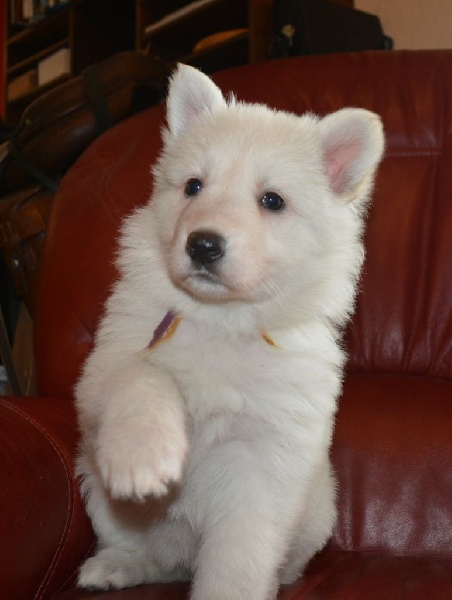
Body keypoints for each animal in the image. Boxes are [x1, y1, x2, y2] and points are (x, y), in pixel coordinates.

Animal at [75, 63, 384, 599]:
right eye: (193, 187)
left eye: (272, 201)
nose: (202, 245)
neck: (222, 319)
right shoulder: (105, 369)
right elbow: (144, 378)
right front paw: (144, 456)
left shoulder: (262, 460)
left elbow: (238, 559)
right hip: (96, 488)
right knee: (141, 551)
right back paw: (113, 566)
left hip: (316, 515)